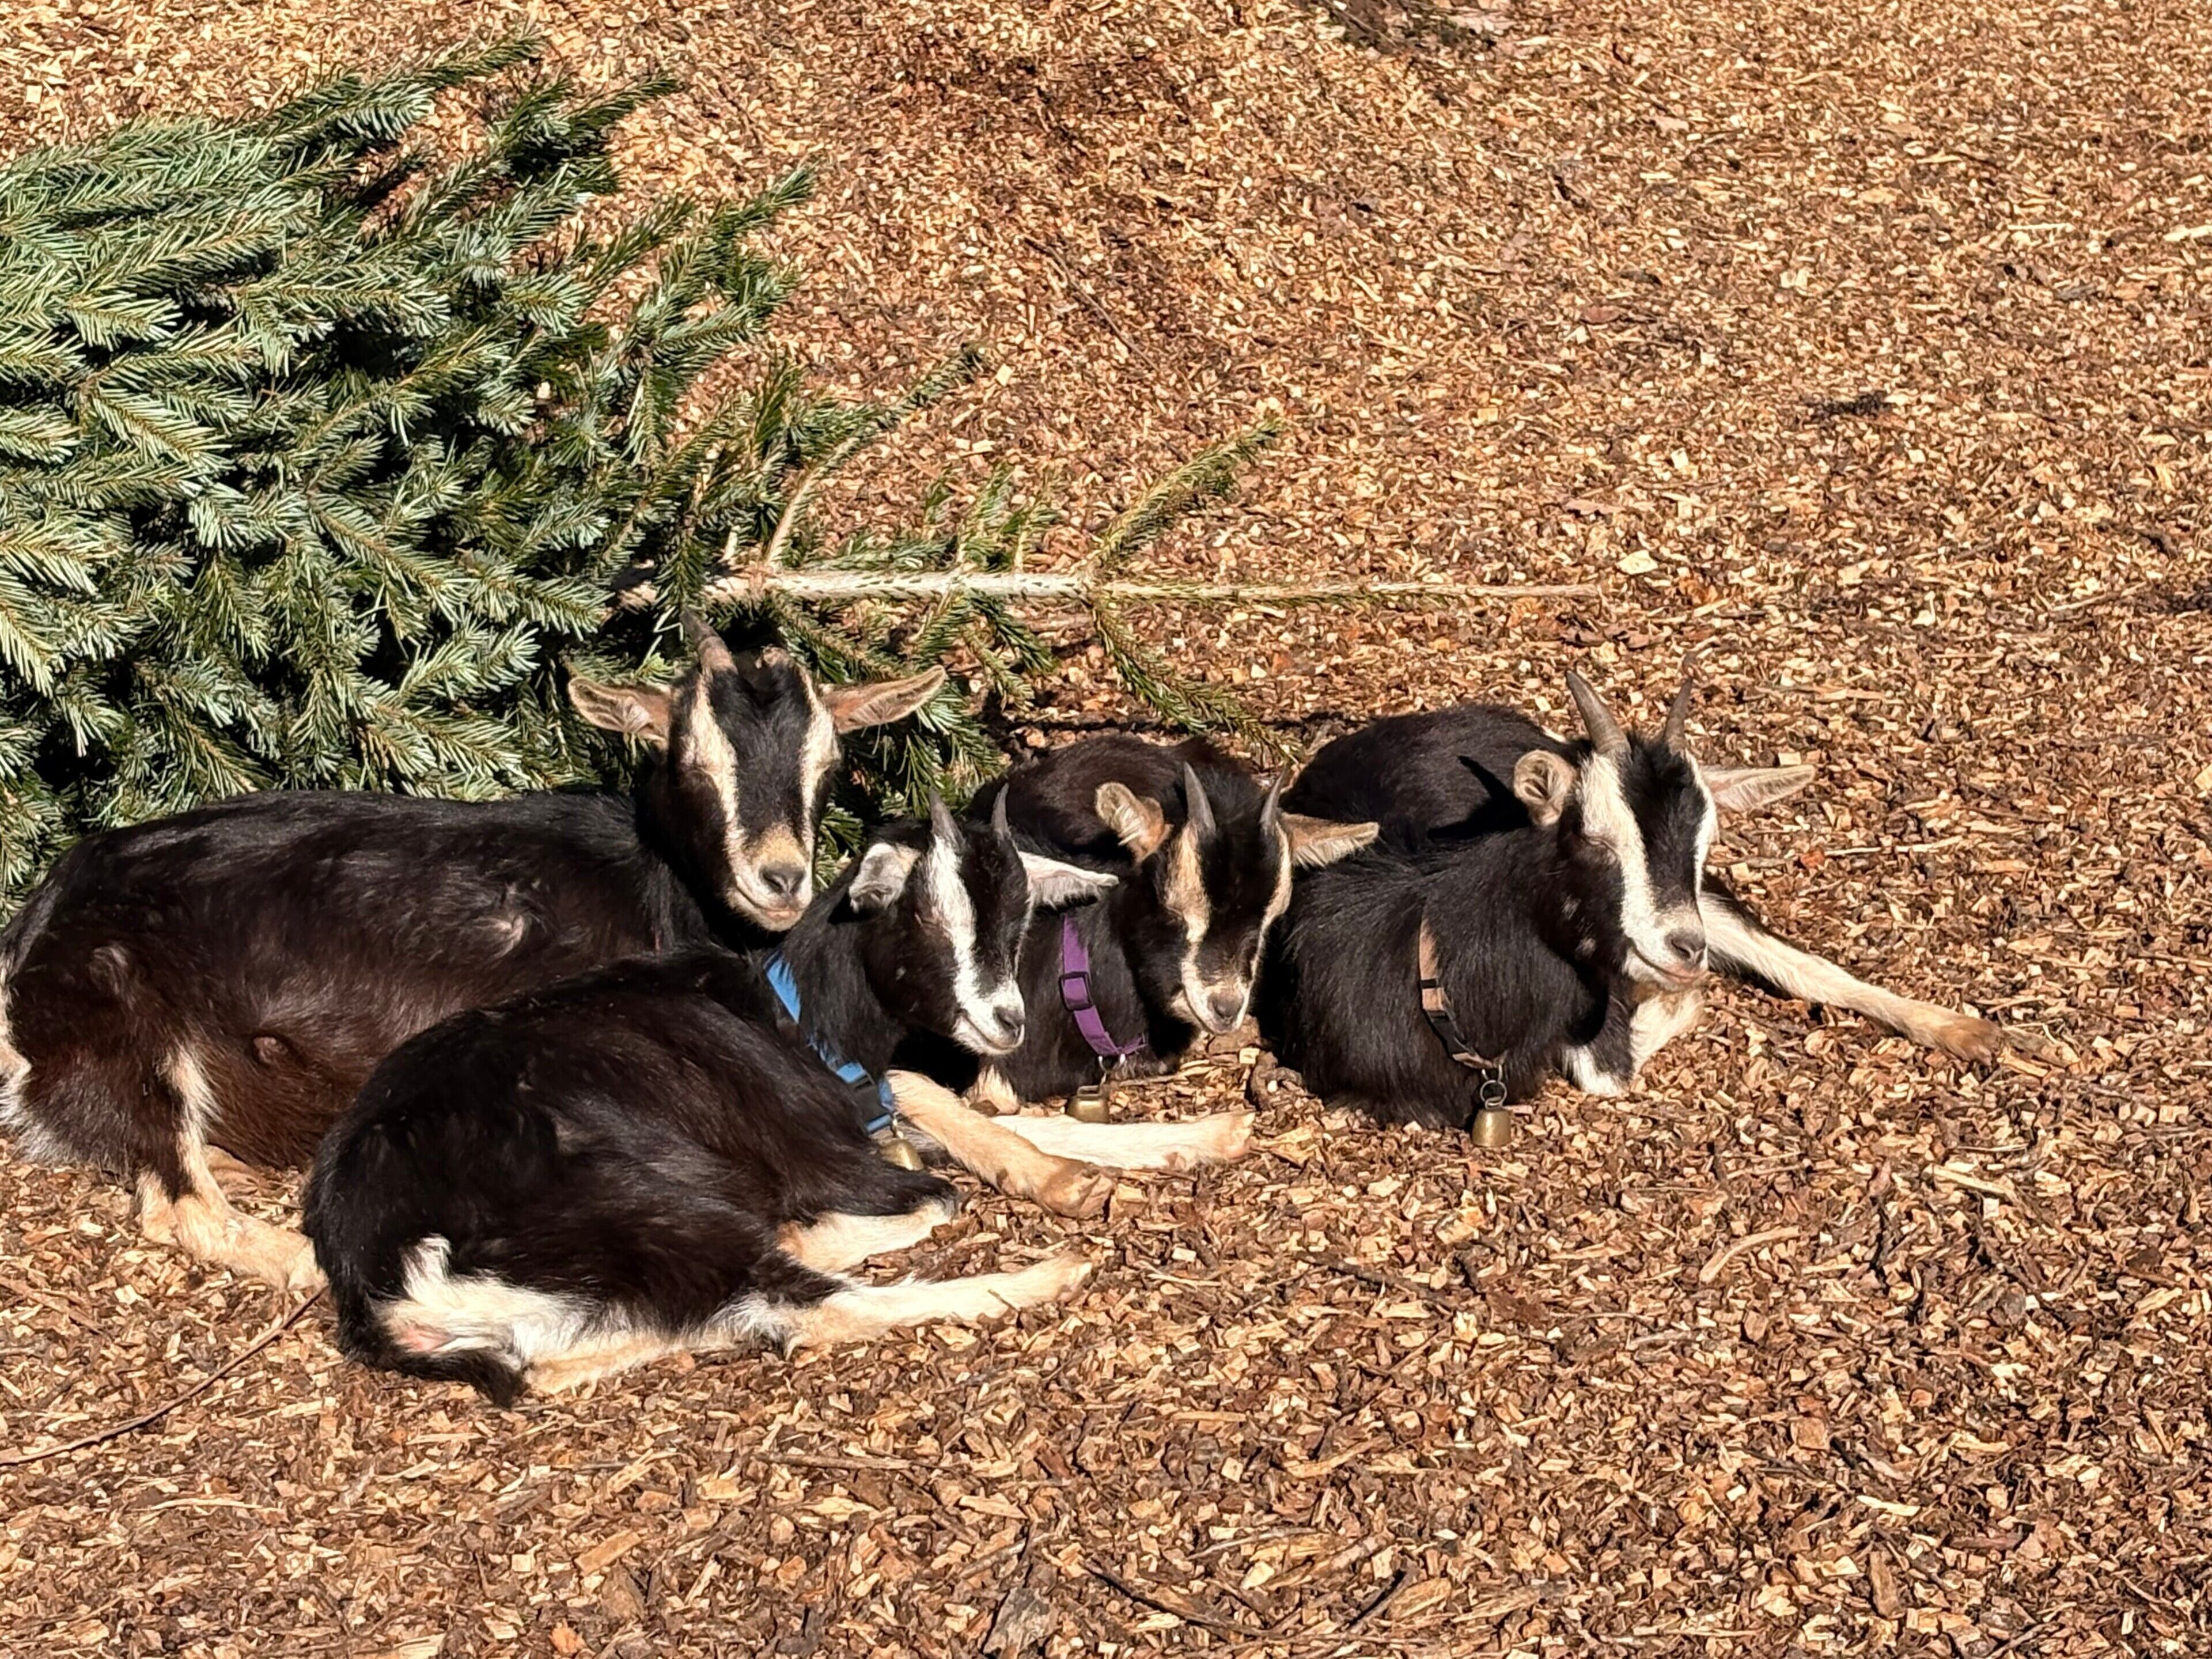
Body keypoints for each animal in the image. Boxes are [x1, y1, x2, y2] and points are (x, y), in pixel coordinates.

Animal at [0, 613, 941, 1287]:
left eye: (829, 764)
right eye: (686, 759)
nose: (778, 877)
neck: (658, 884)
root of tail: (35, 923)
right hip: (129, 1030)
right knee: (180, 1206)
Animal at [303, 805, 1145, 1400]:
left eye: (1020, 921)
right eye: (924, 916)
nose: (1006, 1021)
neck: (799, 1018)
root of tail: (385, 1272)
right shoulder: (832, 1160)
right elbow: (934, 1194)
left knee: (570, 1358)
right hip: (648, 1217)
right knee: (810, 1308)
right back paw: (1046, 1276)